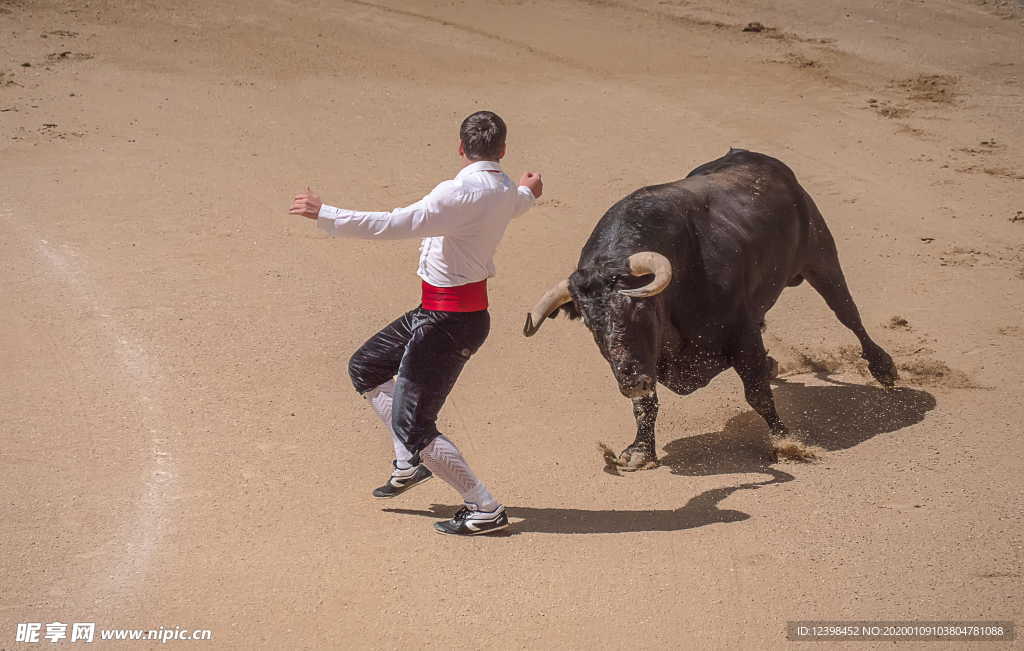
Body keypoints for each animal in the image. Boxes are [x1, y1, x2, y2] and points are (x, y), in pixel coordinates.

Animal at [524, 150, 901, 470]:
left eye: (639, 309)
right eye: (591, 324)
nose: (630, 380)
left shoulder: (742, 333)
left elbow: (757, 393)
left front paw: (784, 441)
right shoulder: (647, 362)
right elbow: (645, 405)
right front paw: (640, 451)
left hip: (821, 258)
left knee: (848, 314)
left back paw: (884, 368)